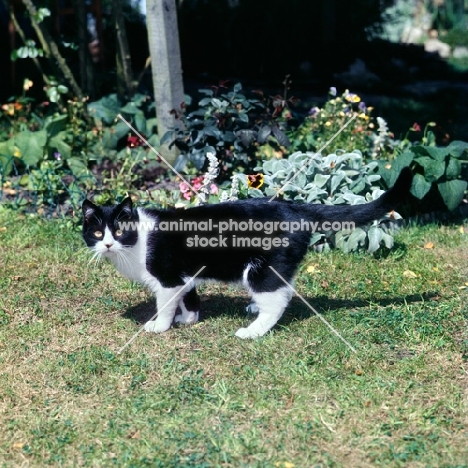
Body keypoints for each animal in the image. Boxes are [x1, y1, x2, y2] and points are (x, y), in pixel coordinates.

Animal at [82, 167, 412, 336]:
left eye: (119, 231)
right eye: (97, 233)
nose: (107, 244)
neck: (136, 244)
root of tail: (295, 207)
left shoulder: (167, 278)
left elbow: (165, 305)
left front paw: (159, 327)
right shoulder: (185, 275)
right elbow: (190, 297)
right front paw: (188, 320)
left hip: (261, 268)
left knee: (276, 300)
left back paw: (253, 331)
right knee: (285, 290)